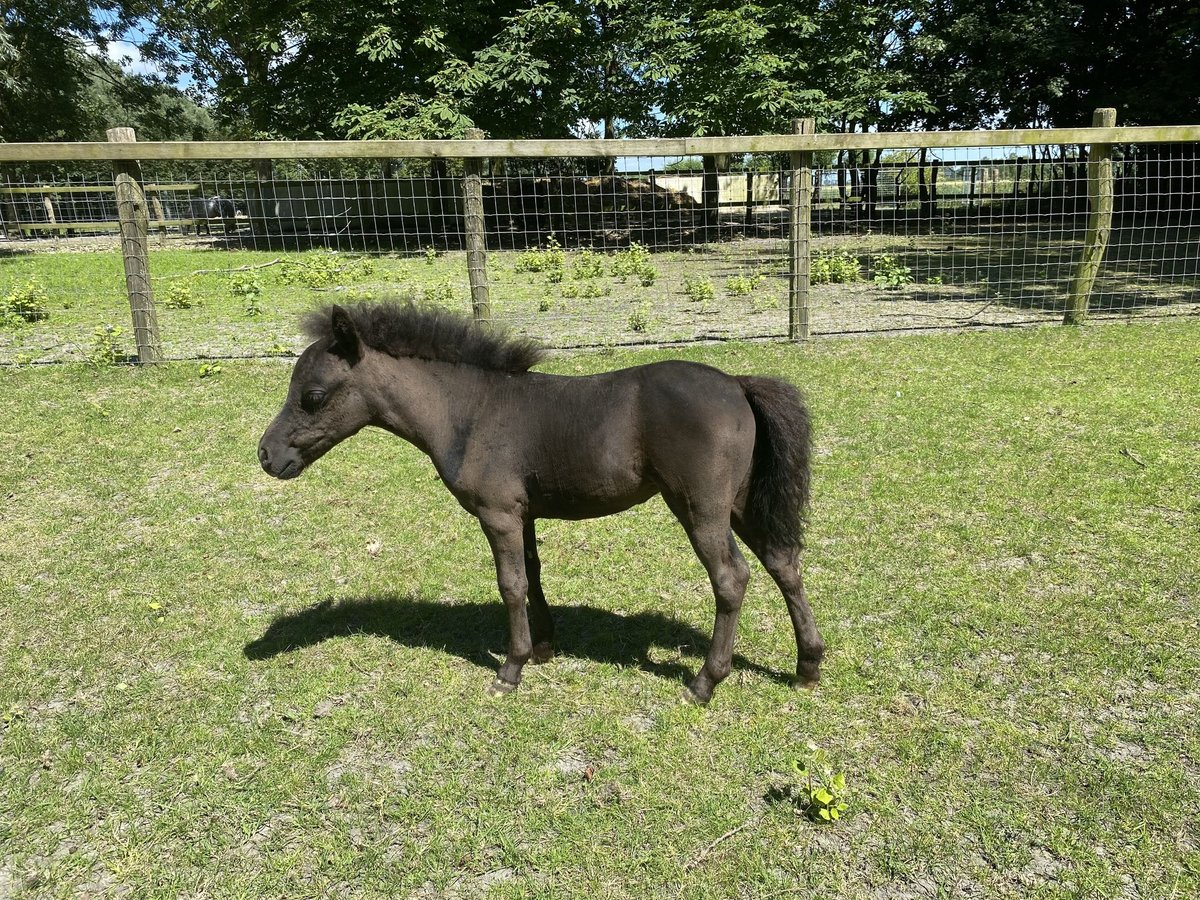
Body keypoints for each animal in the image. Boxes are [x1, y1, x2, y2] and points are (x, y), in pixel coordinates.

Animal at [258, 301, 824, 704]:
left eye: (312, 396)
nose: (266, 455)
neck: (469, 412)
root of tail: (737, 384)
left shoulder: (498, 514)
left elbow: (510, 585)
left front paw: (510, 669)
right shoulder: (523, 513)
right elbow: (532, 574)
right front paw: (546, 647)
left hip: (699, 508)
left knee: (732, 577)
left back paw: (705, 682)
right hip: (741, 504)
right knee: (783, 562)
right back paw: (808, 666)